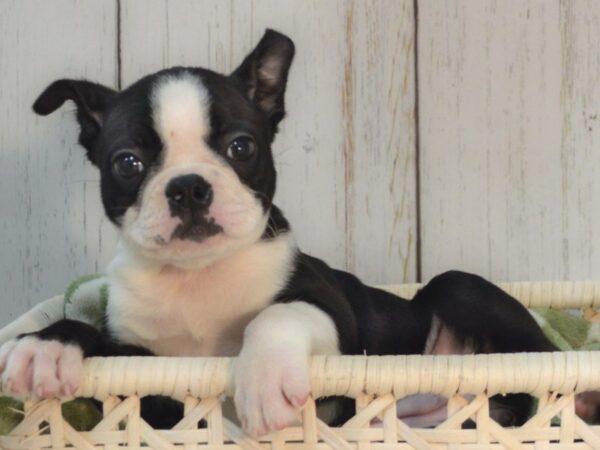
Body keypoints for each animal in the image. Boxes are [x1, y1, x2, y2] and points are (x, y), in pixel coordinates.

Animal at [0, 29, 556, 436]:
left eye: (242, 147)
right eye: (128, 163)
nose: (187, 188)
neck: (197, 277)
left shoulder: (333, 314)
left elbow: (276, 315)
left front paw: (262, 381)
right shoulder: (147, 378)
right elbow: (100, 342)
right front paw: (46, 345)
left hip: (460, 290)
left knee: (538, 361)